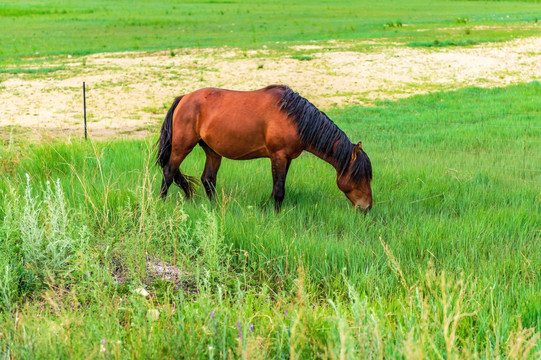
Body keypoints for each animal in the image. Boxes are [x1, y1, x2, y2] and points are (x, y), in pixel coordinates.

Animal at [157, 84, 372, 211]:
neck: (295, 117)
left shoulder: (287, 158)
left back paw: (216, 208)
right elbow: (279, 190)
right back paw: (160, 203)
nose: (367, 207)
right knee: (169, 172)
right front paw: (276, 216)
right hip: (182, 146)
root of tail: (183, 98)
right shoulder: (278, 156)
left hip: (212, 150)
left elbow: (278, 187)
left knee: (208, 179)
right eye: (358, 176)